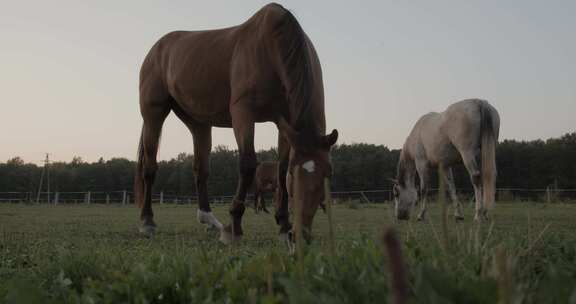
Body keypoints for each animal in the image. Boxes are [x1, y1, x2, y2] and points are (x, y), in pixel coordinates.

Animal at [134, 2, 338, 245]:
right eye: (294, 175)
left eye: (328, 174)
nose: (300, 236)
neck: (269, 47)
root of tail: (157, 49)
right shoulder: (243, 114)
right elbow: (247, 164)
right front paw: (234, 227)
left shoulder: (285, 125)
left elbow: (279, 169)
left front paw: (282, 224)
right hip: (153, 114)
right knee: (150, 167)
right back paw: (147, 222)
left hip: (198, 123)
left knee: (200, 169)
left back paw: (209, 220)